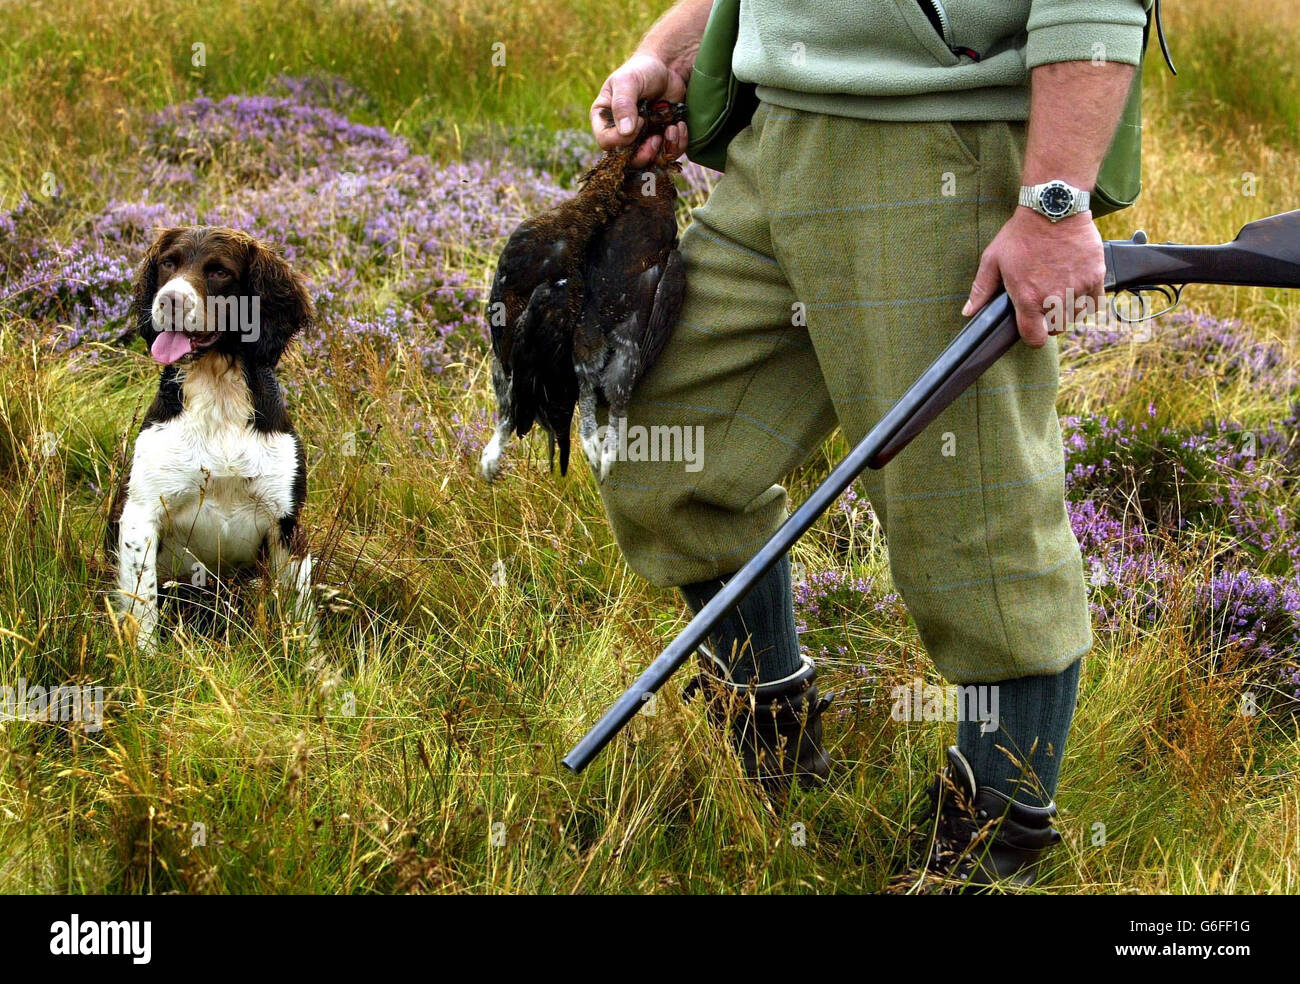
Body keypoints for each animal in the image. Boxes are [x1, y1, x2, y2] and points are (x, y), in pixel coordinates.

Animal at [107, 226, 315, 649]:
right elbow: (143, 604)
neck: (217, 393)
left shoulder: (286, 522)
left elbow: (300, 616)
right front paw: (145, 658)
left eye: (220, 271)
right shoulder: (140, 513)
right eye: (168, 263)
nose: (168, 300)